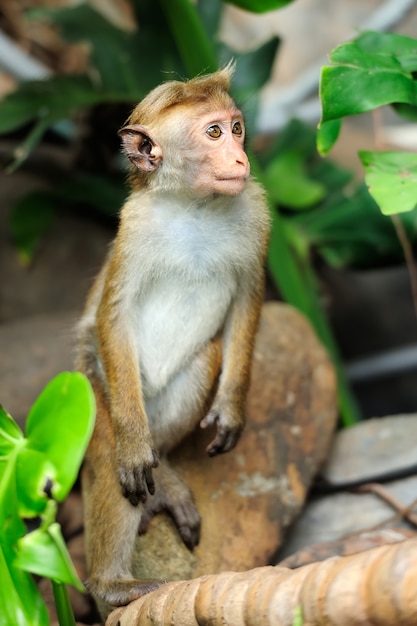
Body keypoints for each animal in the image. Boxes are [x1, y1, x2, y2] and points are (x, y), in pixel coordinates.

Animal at [75, 64, 270, 616]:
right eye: (213, 133)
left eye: (237, 127)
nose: (240, 157)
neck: (194, 205)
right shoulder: (134, 227)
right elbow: (112, 318)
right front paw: (134, 451)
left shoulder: (255, 210)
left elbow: (246, 300)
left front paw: (230, 409)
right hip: (102, 397)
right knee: (113, 460)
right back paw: (113, 584)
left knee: (207, 358)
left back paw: (165, 480)